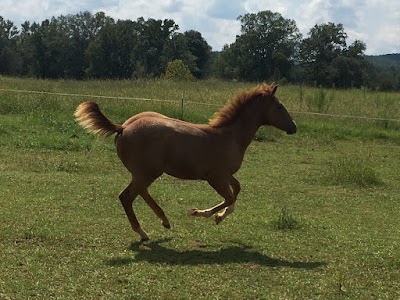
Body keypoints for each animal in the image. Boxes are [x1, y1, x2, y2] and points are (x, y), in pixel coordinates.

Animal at [74, 82, 296, 241]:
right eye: (279, 106)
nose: (293, 127)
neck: (230, 136)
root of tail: (122, 127)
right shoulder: (215, 177)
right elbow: (230, 198)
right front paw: (200, 213)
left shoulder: (226, 175)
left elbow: (236, 192)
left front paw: (218, 217)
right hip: (148, 172)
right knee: (127, 196)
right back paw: (143, 233)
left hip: (144, 172)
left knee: (141, 192)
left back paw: (164, 221)